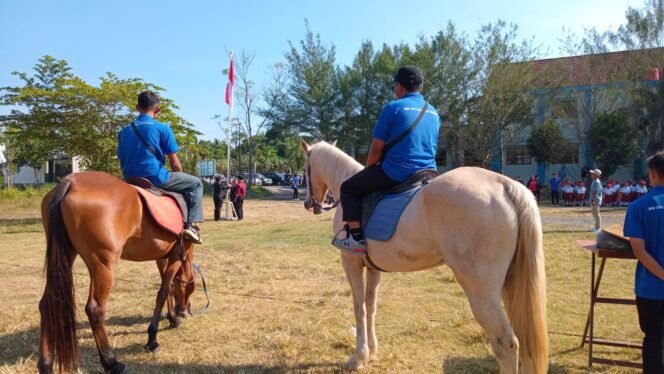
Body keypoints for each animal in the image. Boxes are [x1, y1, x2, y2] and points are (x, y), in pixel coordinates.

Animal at [37, 172, 196, 374]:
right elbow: (164, 291)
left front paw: (172, 319)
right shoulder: (177, 255)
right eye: (191, 289)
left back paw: (46, 364)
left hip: (65, 254)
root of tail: (69, 183)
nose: (184, 311)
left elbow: (166, 289)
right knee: (95, 309)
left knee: (47, 304)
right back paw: (111, 362)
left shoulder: (161, 257)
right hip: (104, 265)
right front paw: (153, 338)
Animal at [302, 141, 548, 374]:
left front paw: (359, 358)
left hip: (481, 291)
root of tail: (503, 184)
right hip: (511, 285)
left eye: (305, 168)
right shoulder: (373, 268)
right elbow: (371, 306)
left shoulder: (351, 262)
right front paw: (371, 351)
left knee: (506, 345)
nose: (308, 203)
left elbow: (359, 307)